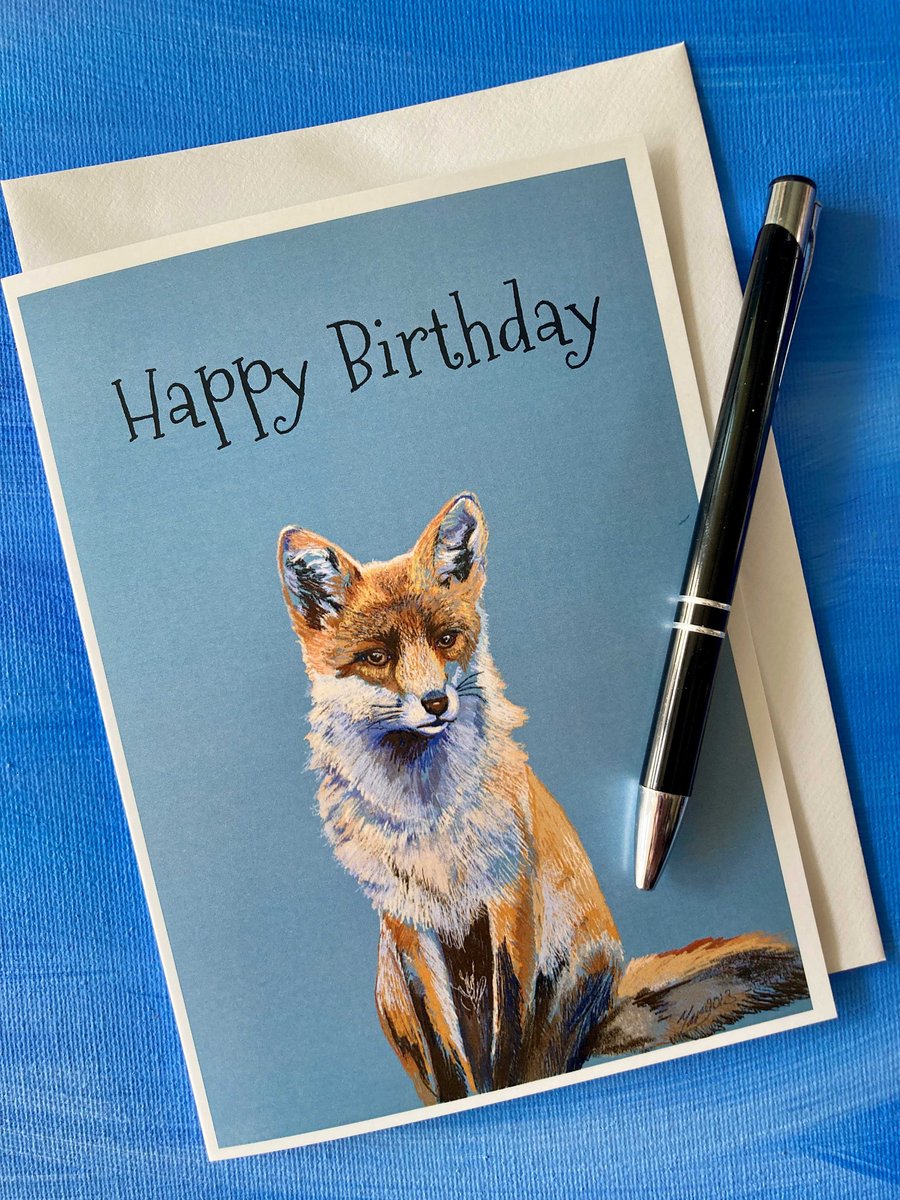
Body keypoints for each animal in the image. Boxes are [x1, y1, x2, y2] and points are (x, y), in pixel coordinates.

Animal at [277, 492, 808, 1104]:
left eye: (445, 639)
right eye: (376, 658)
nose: (435, 702)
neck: (429, 822)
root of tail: (610, 996)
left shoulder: (509, 903)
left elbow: (506, 1042)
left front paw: (502, 1088)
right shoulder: (413, 928)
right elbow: (454, 1056)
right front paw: (473, 1098)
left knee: (546, 1054)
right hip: (394, 993)